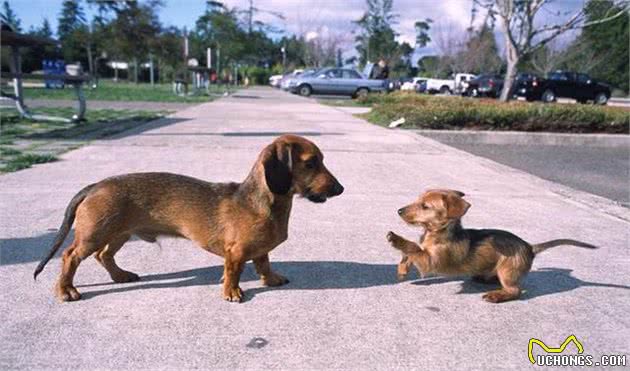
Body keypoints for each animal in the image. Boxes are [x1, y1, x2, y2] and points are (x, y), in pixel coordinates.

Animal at [34, 135, 346, 304]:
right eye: (310, 163)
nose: (340, 189)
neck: (264, 204)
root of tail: (95, 185)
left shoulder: (259, 251)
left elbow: (264, 263)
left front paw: (271, 279)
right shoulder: (235, 253)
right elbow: (234, 272)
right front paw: (232, 292)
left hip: (119, 233)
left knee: (103, 255)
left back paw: (121, 275)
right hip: (94, 234)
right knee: (70, 256)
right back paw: (66, 290)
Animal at [388, 190, 600, 304]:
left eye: (425, 206)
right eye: (417, 201)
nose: (398, 210)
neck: (436, 232)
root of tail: (529, 247)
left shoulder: (431, 262)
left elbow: (413, 247)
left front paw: (396, 239)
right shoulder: (424, 254)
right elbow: (410, 253)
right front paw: (402, 269)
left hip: (507, 271)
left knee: (515, 291)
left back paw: (496, 296)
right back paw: (484, 279)